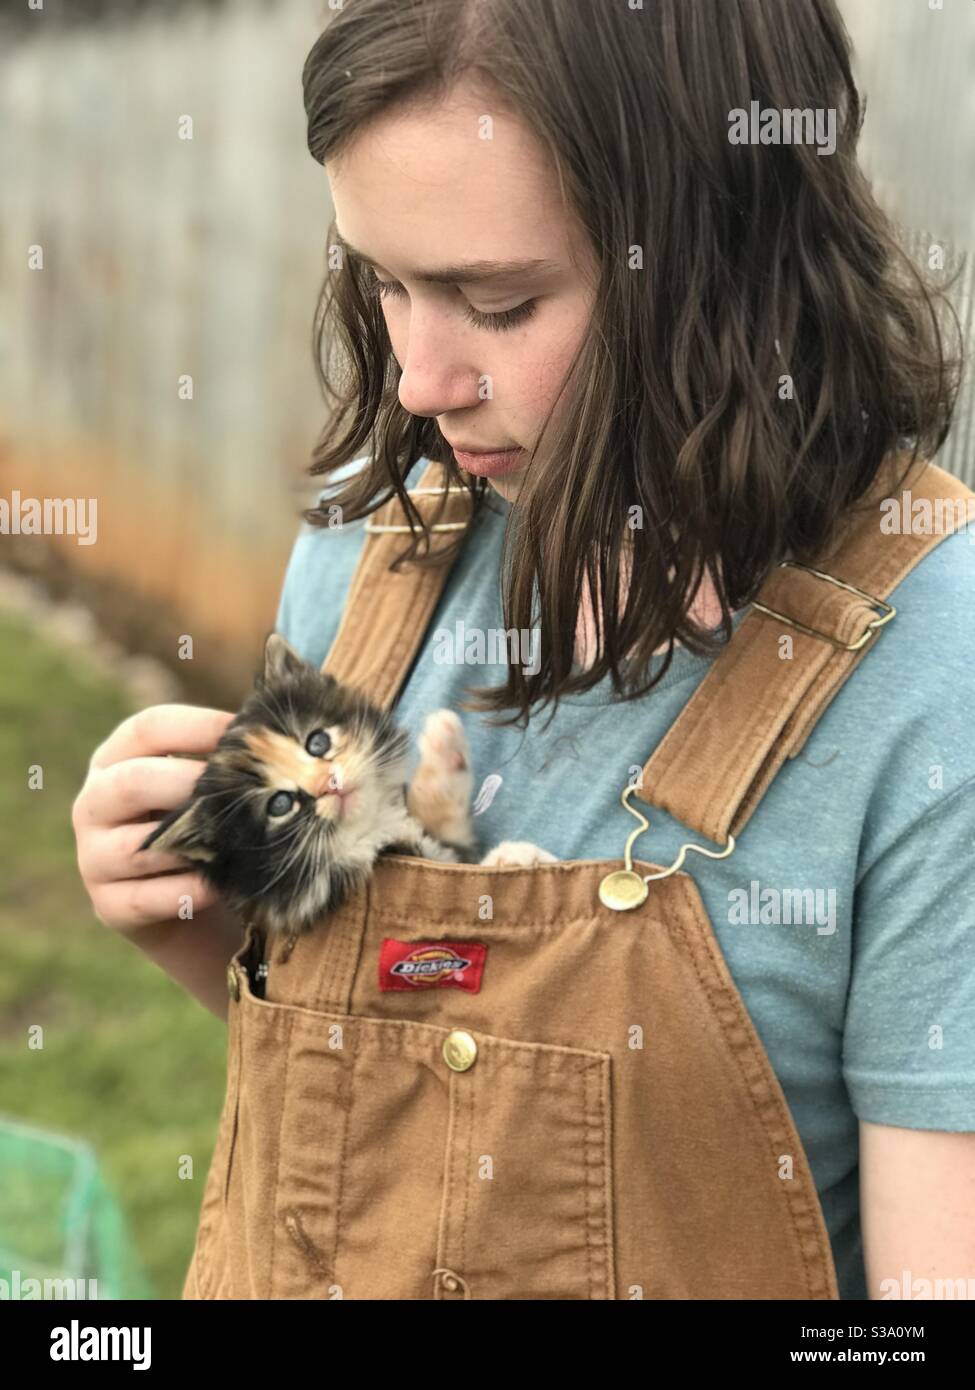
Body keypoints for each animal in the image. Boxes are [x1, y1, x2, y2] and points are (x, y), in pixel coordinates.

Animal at [137, 633, 550, 939]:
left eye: (317, 742)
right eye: (280, 805)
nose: (329, 785)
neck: (373, 831)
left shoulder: (444, 845)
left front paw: (445, 747)